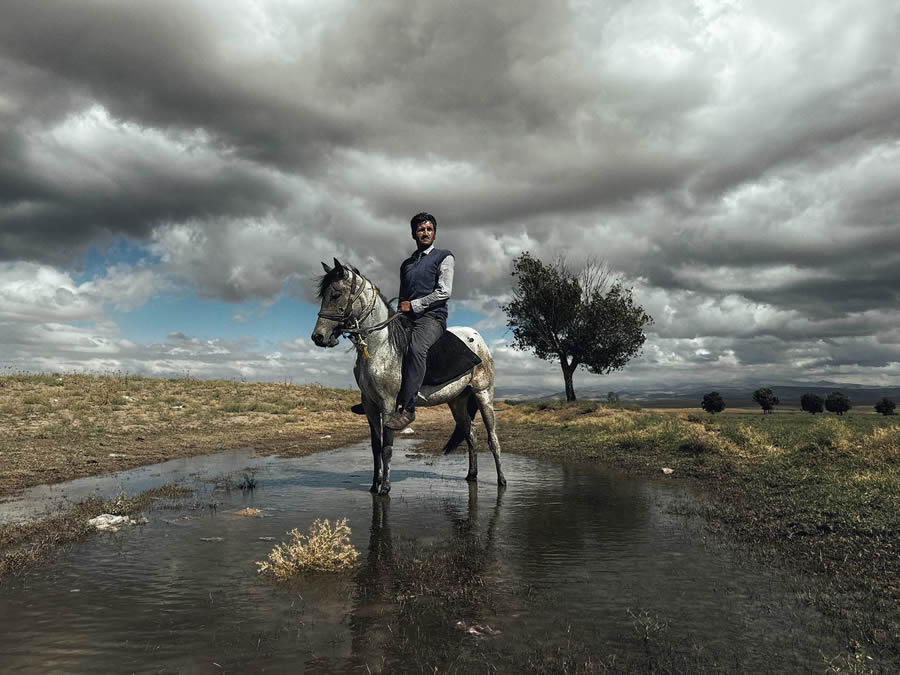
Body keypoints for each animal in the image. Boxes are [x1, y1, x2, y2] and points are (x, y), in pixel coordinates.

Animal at [312, 258, 506, 496]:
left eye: (336, 294)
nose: (318, 337)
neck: (379, 345)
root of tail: (478, 339)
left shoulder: (388, 405)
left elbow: (386, 448)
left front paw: (385, 487)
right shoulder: (370, 405)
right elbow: (375, 447)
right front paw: (374, 484)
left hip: (483, 394)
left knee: (492, 438)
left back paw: (502, 480)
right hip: (457, 402)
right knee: (471, 435)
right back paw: (472, 475)